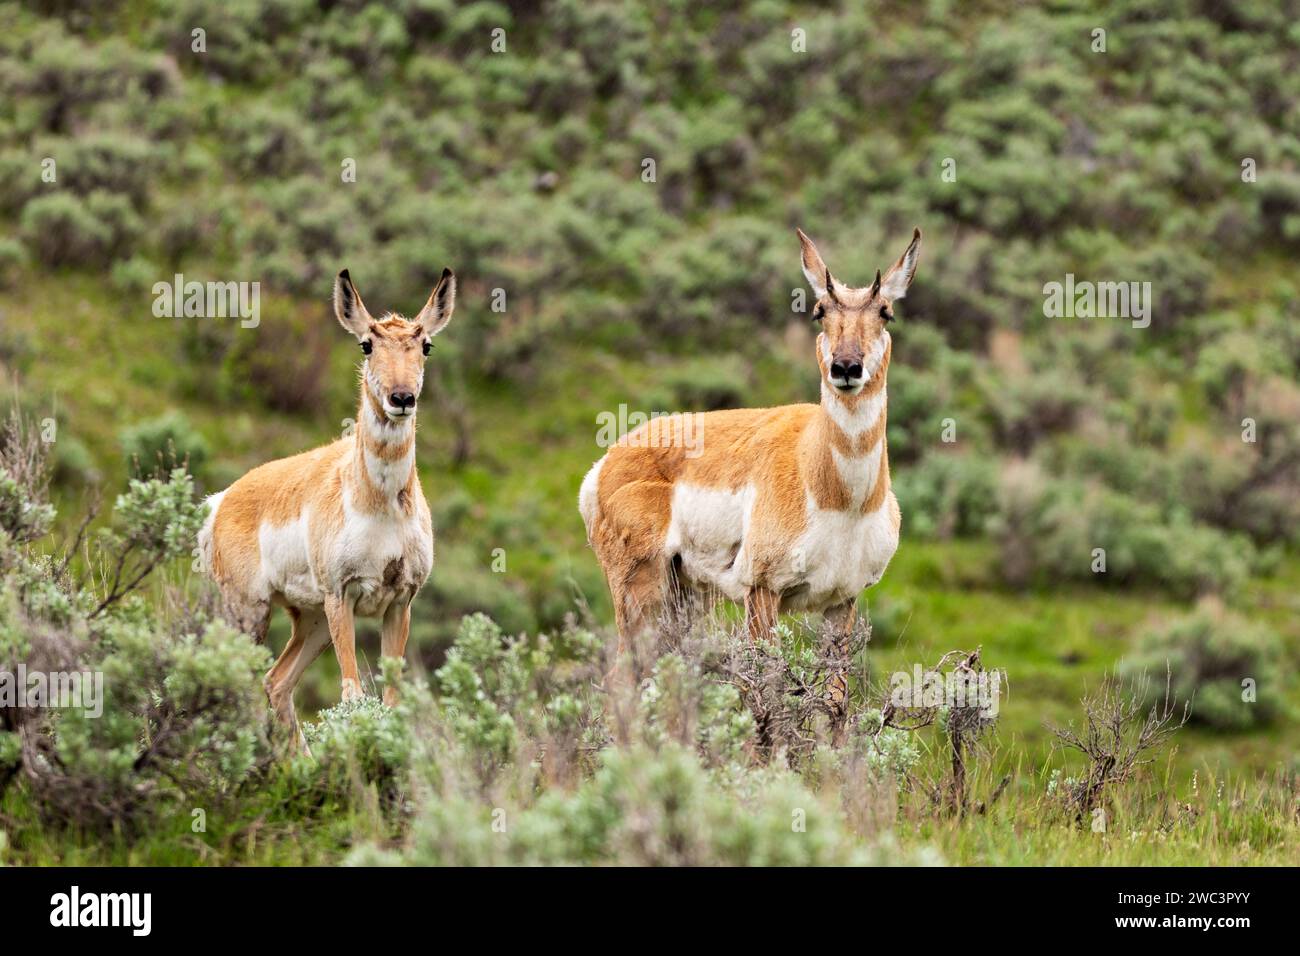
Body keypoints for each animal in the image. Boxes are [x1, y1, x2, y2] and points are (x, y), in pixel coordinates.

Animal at [195, 267, 454, 738]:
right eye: (366, 344)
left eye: (426, 344)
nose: (402, 398)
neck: (379, 506)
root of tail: (221, 502)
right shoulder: (342, 596)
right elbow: (352, 695)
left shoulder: (400, 601)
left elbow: (391, 700)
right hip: (248, 611)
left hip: (310, 620)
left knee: (276, 682)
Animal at [585, 225, 920, 702]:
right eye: (819, 311)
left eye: (886, 312)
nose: (846, 367)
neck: (838, 494)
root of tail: (606, 461)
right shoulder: (762, 592)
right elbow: (764, 694)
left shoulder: (843, 602)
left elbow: (835, 701)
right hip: (641, 591)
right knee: (621, 681)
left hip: (683, 598)